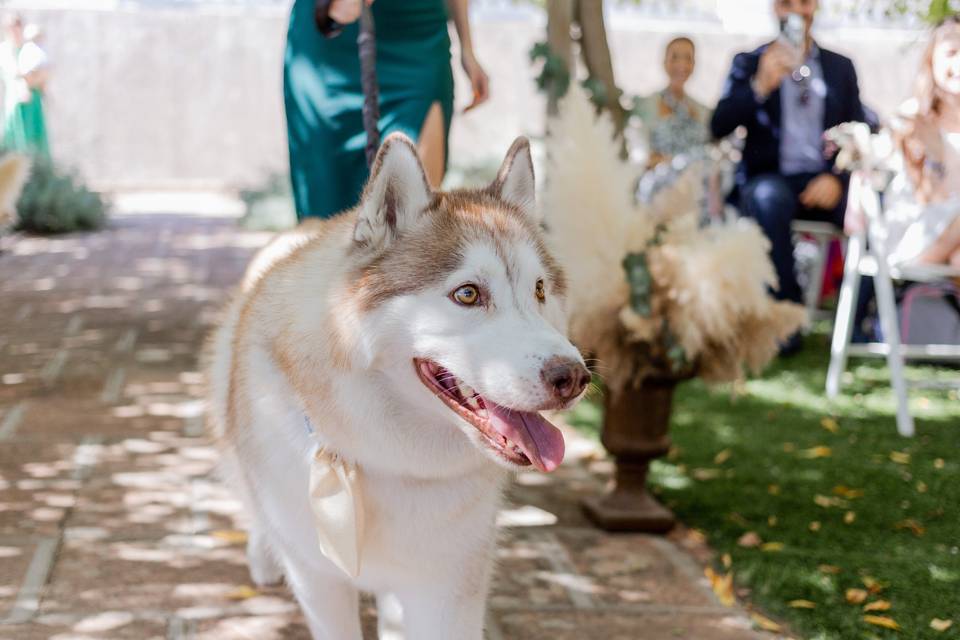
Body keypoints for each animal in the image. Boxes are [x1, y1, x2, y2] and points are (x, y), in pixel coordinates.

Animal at [206, 135, 588, 640]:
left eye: (540, 291)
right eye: (468, 294)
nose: (574, 377)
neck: (391, 459)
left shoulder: (448, 587)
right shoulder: (319, 580)